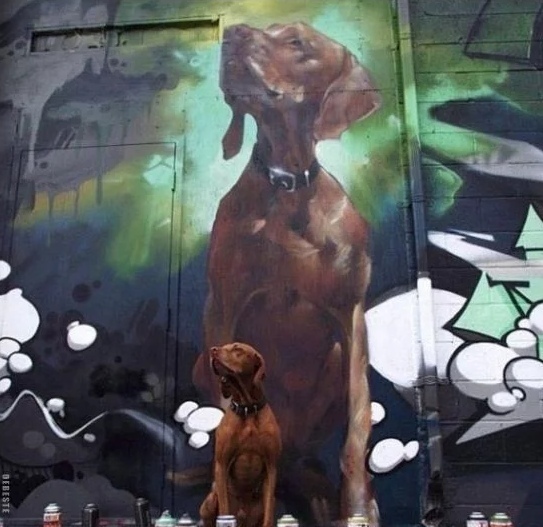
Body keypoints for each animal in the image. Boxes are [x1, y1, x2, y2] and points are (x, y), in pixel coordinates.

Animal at [199, 342, 282, 527]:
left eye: (238, 349)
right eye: (224, 346)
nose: (213, 350)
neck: (247, 409)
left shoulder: (271, 466)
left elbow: (268, 516)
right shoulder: (222, 465)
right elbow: (224, 509)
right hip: (209, 501)